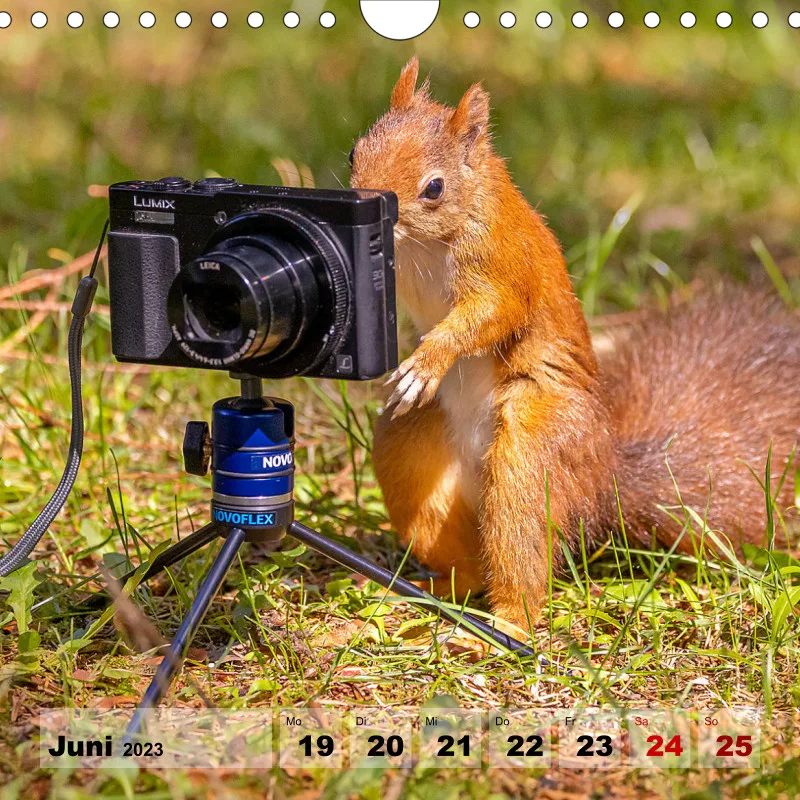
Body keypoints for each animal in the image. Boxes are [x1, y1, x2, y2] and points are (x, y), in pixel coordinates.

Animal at [350, 58, 800, 629]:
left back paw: (502, 622)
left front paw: (428, 359)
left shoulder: (503, 259)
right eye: (354, 152)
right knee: (462, 560)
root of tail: (604, 481)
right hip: (407, 449)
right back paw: (428, 590)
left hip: (535, 445)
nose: (365, 207)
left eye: (434, 187)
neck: (420, 246)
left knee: (521, 535)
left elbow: (493, 312)